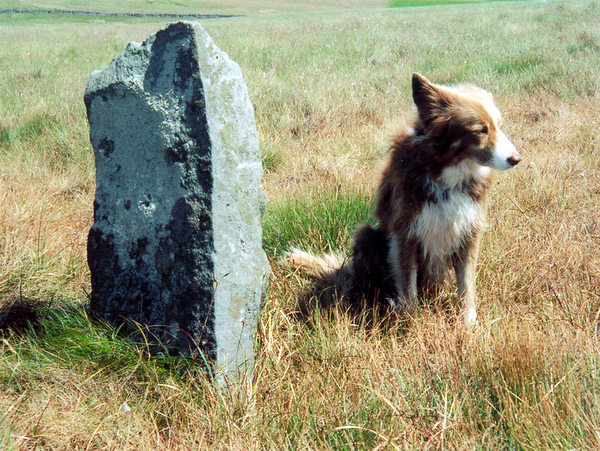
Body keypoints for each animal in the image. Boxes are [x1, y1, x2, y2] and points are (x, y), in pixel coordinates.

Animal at [288, 75, 520, 328]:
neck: (445, 173)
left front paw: (468, 324)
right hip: (366, 235)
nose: (516, 159)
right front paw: (410, 323)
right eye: (480, 130)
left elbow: (466, 283)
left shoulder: (469, 231)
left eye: (499, 125)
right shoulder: (406, 233)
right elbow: (408, 286)